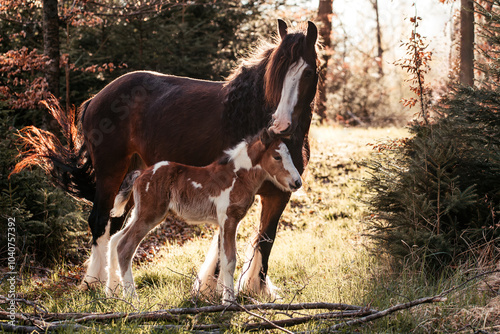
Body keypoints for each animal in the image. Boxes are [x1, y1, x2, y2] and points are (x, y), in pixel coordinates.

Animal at [106, 130, 300, 302]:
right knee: (124, 246)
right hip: (149, 215)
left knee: (115, 239)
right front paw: (229, 301)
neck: (237, 176)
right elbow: (229, 261)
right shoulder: (229, 219)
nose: (297, 182)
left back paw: (112, 292)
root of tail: (140, 174)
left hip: (140, 214)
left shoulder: (227, 222)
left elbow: (222, 259)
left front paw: (222, 296)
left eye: (289, 155)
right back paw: (131, 297)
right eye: (277, 157)